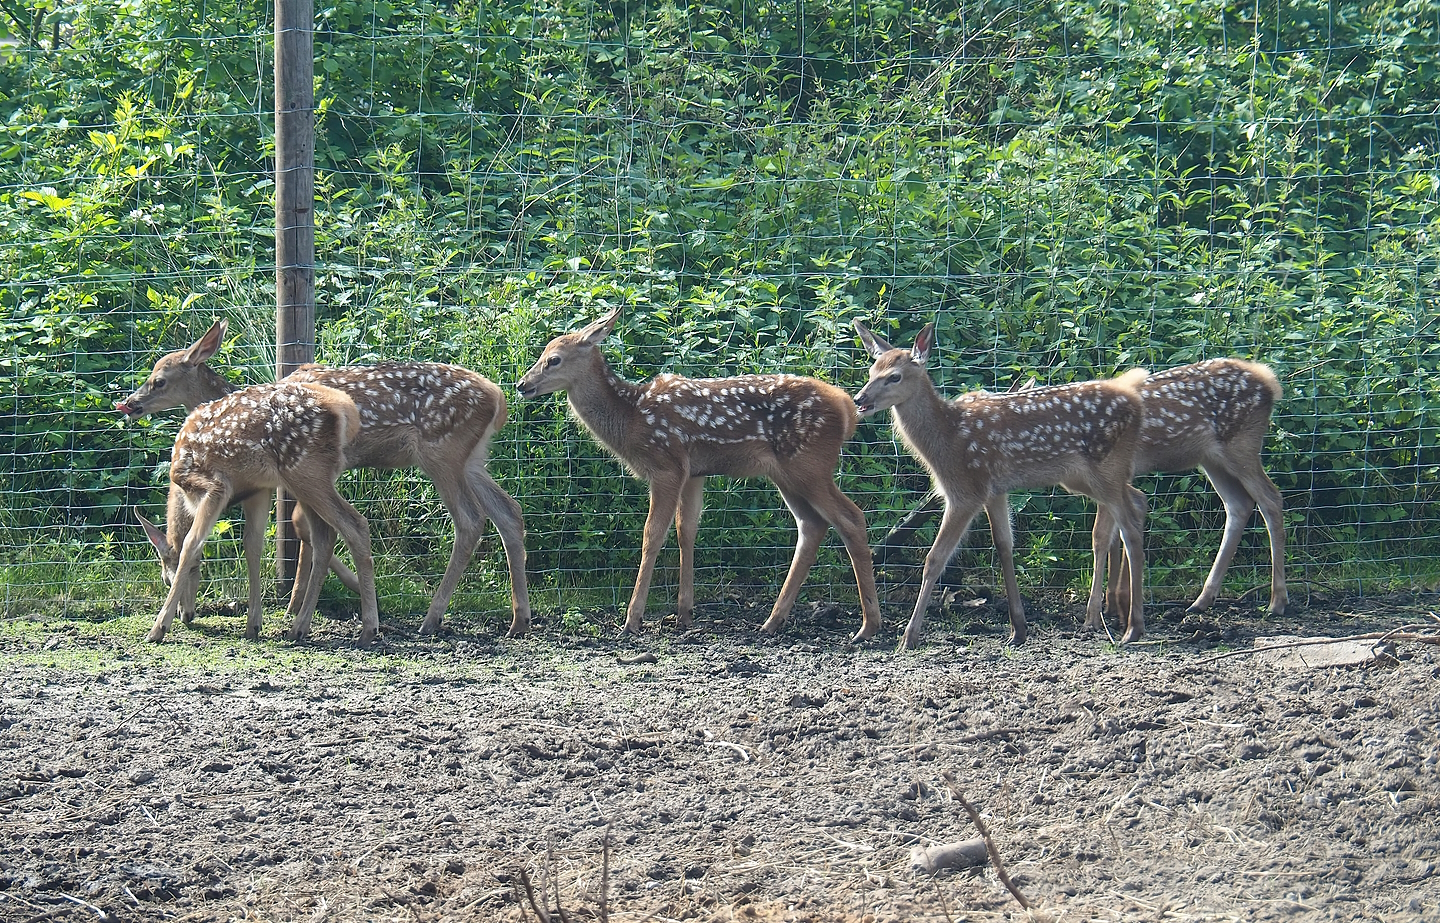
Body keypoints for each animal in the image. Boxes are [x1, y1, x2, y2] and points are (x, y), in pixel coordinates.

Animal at [141, 380, 379, 644]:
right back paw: (299, 627)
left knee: (356, 525)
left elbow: (191, 544)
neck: (181, 491)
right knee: (325, 538)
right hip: (309, 479)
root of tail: (345, 407)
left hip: (305, 470)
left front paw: (158, 628)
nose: (186, 615)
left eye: (166, 579)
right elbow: (252, 546)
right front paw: (253, 625)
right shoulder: (258, 489)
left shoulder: (215, 485)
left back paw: (368, 630)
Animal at [515, 308, 882, 641]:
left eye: (554, 360)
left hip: (809, 464)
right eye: (543, 354)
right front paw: (684, 614)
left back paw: (867, 626)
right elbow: (686, 531)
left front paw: (633, 619)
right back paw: (772, 622)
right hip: (787, 474)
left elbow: (652, 534)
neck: (631, 419)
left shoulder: (666, 465)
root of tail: (846, 408)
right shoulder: (694, 473)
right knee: (812, 525)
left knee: (851, 517)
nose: (521, 385)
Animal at [852, 320, 1150, 649]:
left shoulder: (965, 491)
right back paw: (1111, 616)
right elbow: (1004, 545)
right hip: (1085, 477)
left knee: (1130, 527)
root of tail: (1137, 403)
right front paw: (1018, 628)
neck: (947, 438)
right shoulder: (994, 490)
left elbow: (934, 559)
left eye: (895, 376)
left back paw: (1133, 627)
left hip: (1105, 470)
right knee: (1137, 503)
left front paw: (909, 636)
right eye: (871, 370)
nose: (859, 400)